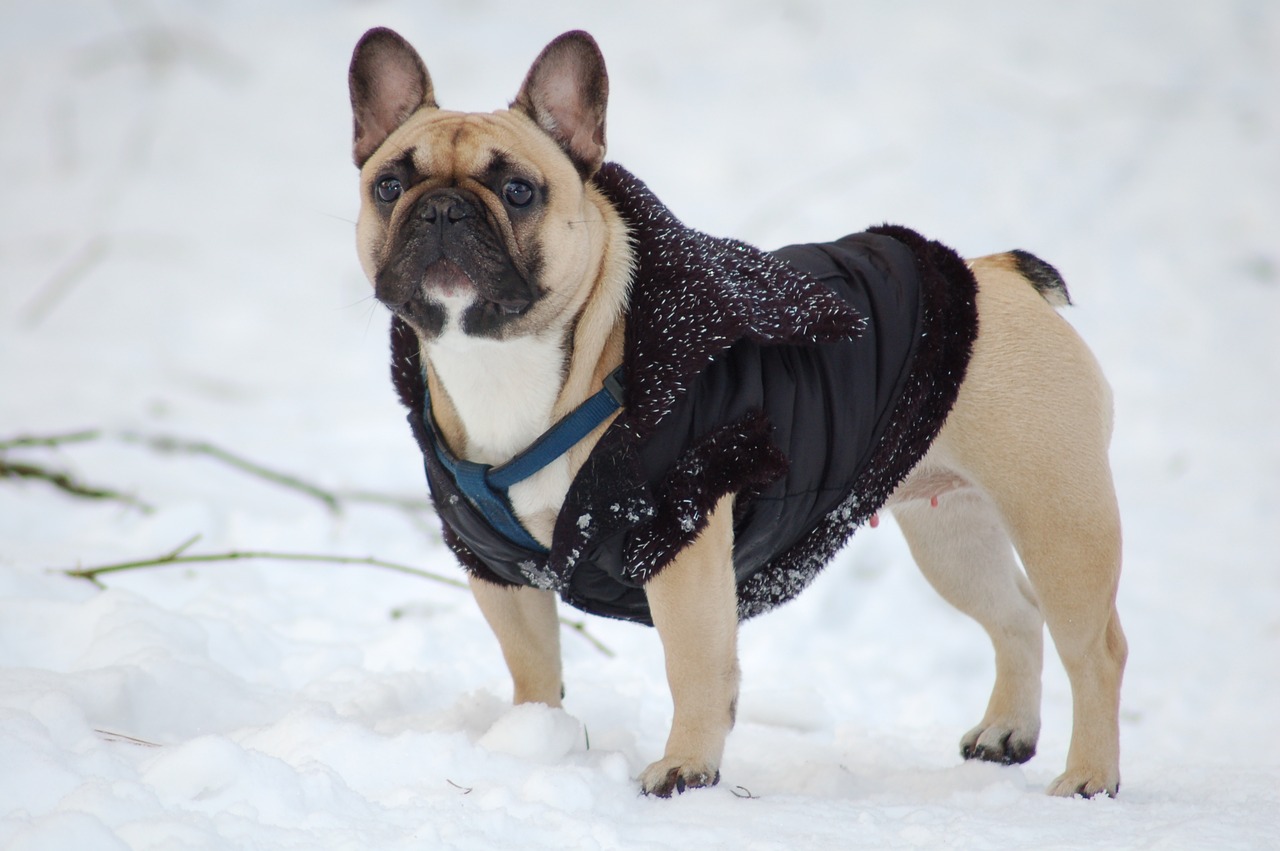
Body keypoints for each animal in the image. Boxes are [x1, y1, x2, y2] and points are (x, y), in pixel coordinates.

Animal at [345, 26, 1126, 798]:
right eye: (388, 186)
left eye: (517, 190)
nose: (443, 208)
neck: (508, 361)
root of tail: (996, 272)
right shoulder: (496, 567)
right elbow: (532, 662)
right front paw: (534, 739)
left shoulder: (678, 535)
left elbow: (693, 664)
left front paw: (685, 766)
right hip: (953, 534)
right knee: (1015, 616)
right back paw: (1008, 732)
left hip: (1056, 512)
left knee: (1095, 647)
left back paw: (1089, 774)